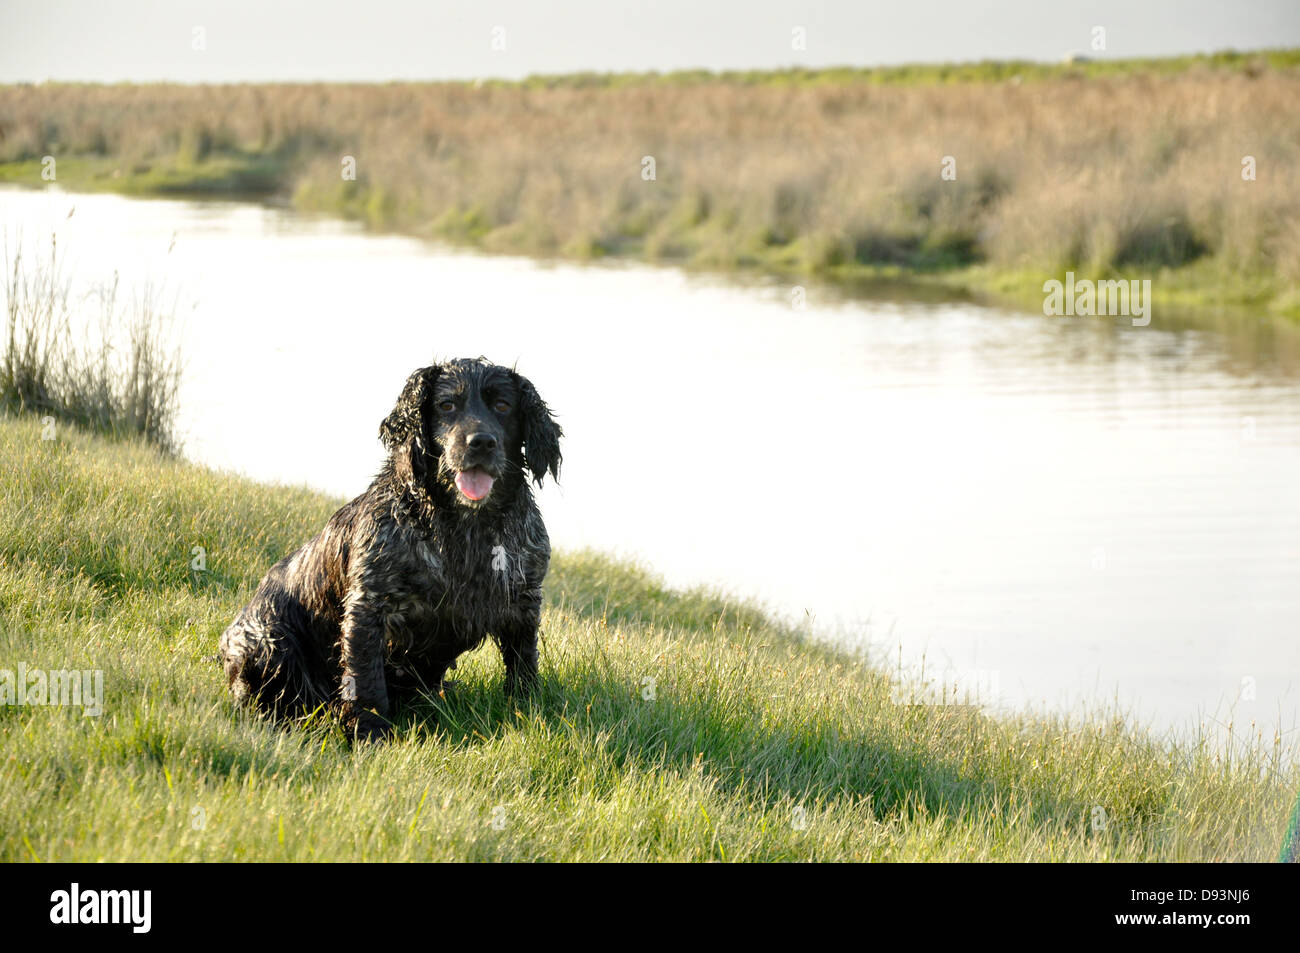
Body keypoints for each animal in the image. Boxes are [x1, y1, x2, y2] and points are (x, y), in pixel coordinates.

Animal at [217, 356, 559, 738]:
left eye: (503, 405)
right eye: (446, 405)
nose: (480, 442)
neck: (467, 527)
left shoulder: (523, 601)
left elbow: (523, 669)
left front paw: (527, 712)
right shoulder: (368, 606)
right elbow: (367, 686)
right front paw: (371, 736)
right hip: (265, 642)